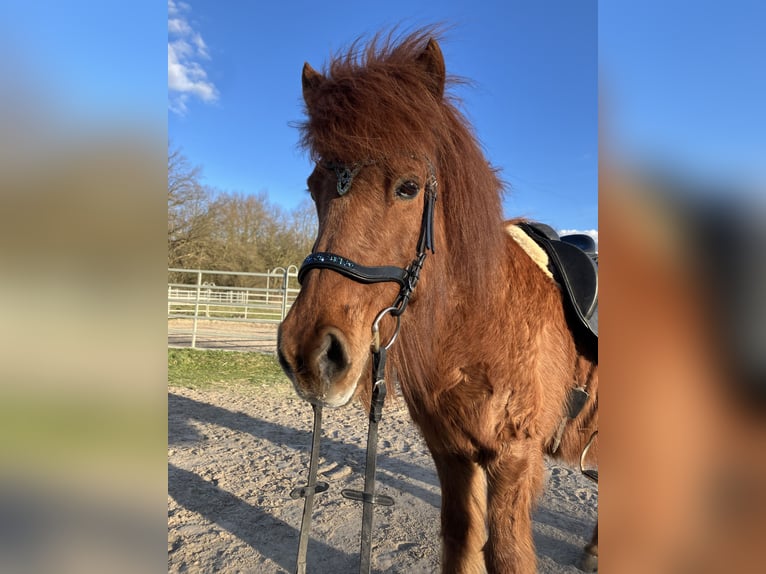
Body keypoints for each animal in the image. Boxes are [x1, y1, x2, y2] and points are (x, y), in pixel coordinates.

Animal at [277, 29, 598, 573]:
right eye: (314, 186)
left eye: (408, 188)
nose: (309, 354)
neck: (483, 322)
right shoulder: (451, 453)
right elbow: (461, 540)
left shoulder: (514, 459)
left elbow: (507, 554)